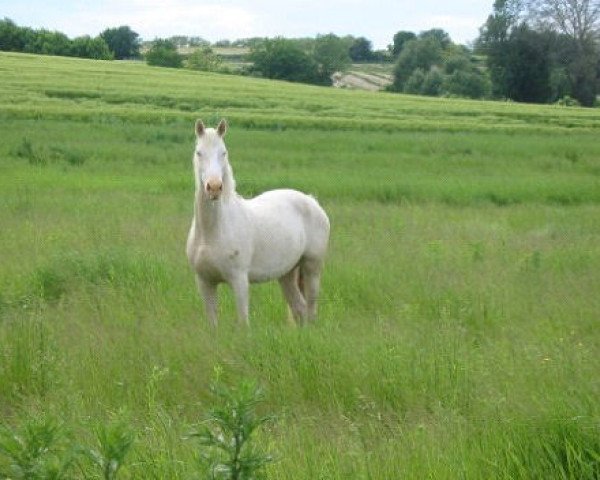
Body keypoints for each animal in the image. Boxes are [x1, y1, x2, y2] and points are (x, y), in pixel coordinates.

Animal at [185, 119, 330, 326]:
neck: (212, 232)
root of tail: (312, 201)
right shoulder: (205, 282)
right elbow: (213, 324)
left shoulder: (239, 280)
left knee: (310, 310)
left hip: (312, 268)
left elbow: (243, 323)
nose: (214, 187)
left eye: (224, 152)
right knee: (299, 308)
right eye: (199, 152)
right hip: (286, 274)